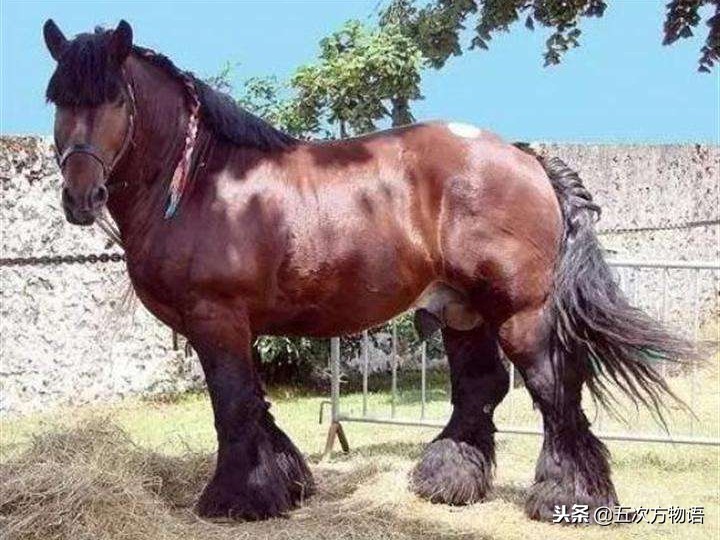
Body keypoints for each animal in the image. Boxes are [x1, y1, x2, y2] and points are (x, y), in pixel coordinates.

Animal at [43, 19, 692, 522]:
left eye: (115, 99)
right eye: (58, 100)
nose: (80, 197)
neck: (205, 181)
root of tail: (524, 156)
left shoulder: (216, 318)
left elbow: (231, 406)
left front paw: (236, 499)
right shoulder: (237, 327)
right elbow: (255, 405)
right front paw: (285, 483)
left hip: (520, 312)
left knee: (554, 389)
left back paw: (565, 496)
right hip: (462, 309)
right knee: (481, 387)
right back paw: (448, 479)